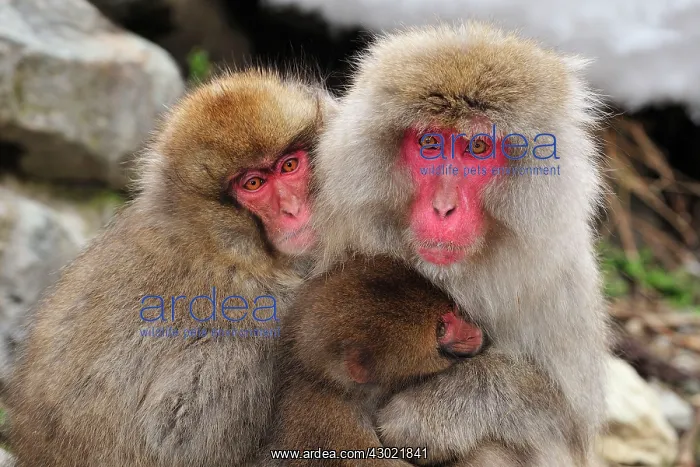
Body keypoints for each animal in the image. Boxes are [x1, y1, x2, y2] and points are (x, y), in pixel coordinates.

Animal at [8, 69, 335, 466]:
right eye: (253, 183)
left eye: (289, 165)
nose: (292, 209)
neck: (213, 239)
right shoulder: (249, 301)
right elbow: (176, 433)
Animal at [312, 22, 610, 466]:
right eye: (431, 144)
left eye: (478, 148)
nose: (443, 208)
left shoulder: (564, 278)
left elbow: (567, 418)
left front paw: (426, 414)